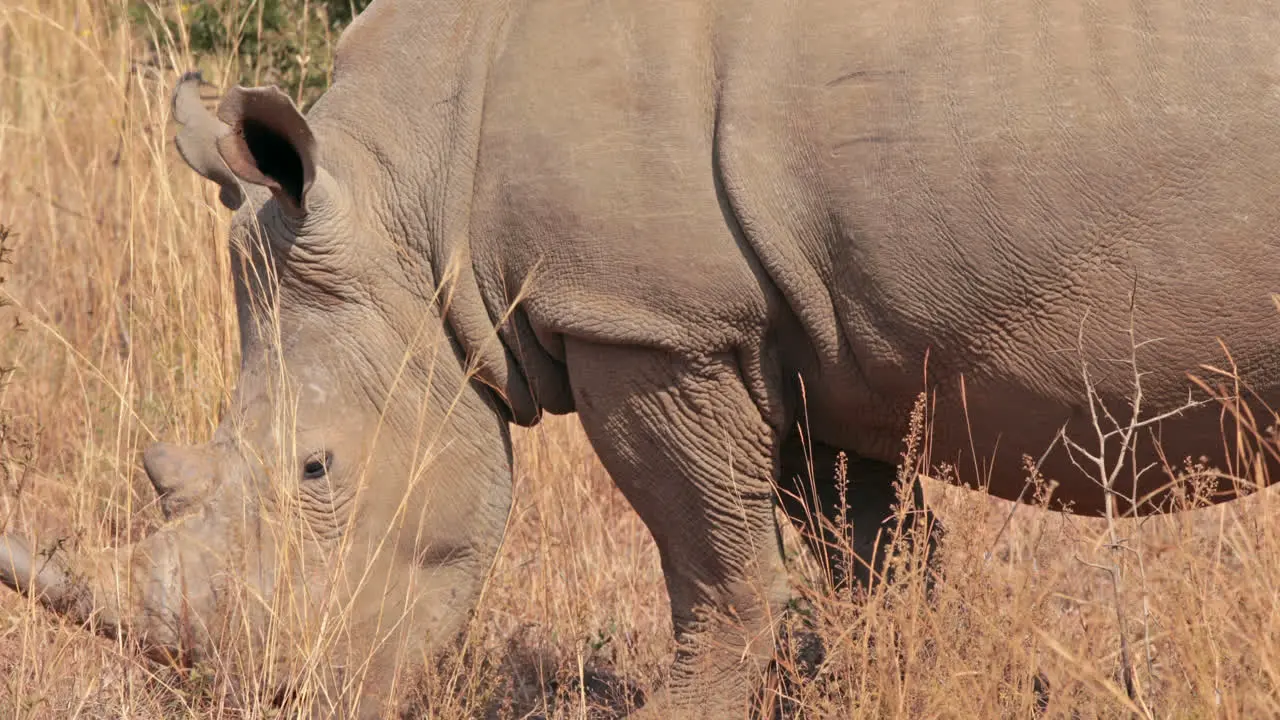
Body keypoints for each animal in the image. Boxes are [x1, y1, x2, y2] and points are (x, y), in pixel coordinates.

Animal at [2, 0, 1280, 712]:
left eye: (315, 470)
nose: (265, 695)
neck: (416, 193)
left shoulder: (646, 320)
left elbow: (713, 566)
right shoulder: (804, 334)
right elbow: (872, 562)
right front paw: (914, 682)